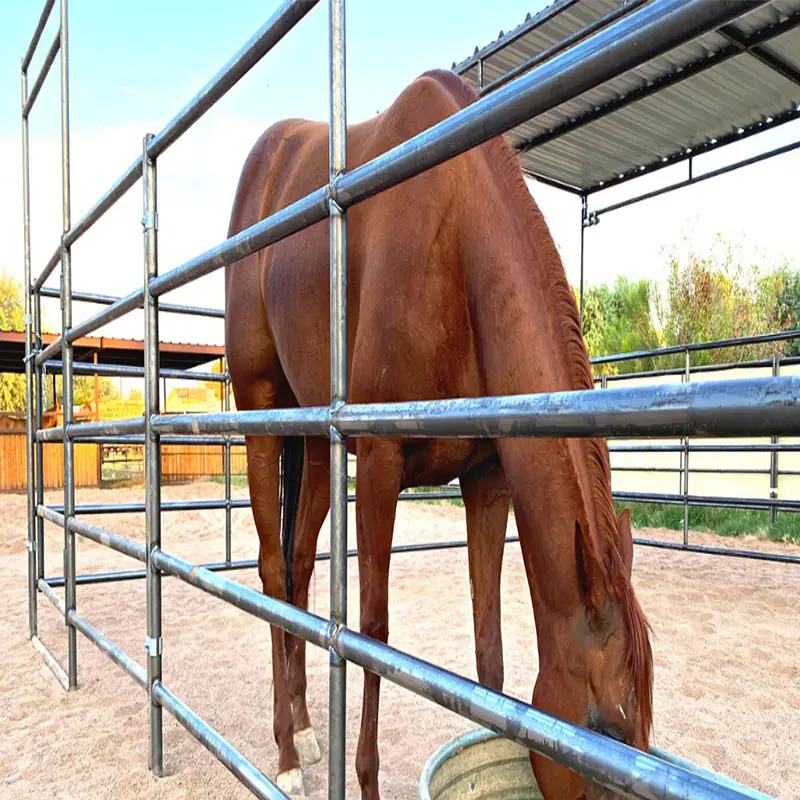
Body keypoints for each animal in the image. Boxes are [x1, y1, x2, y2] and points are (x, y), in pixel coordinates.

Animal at [225, 70, 648, 800]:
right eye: (607, 732)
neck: (457, 247)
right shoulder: (381, 460)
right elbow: (372, 632)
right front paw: (365, 780)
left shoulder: (486, 479)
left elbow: (489, 649)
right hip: (261, 413)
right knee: (274, 571)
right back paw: (283, 753)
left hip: (313, 442)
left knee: (300, 565)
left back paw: (305, 729)